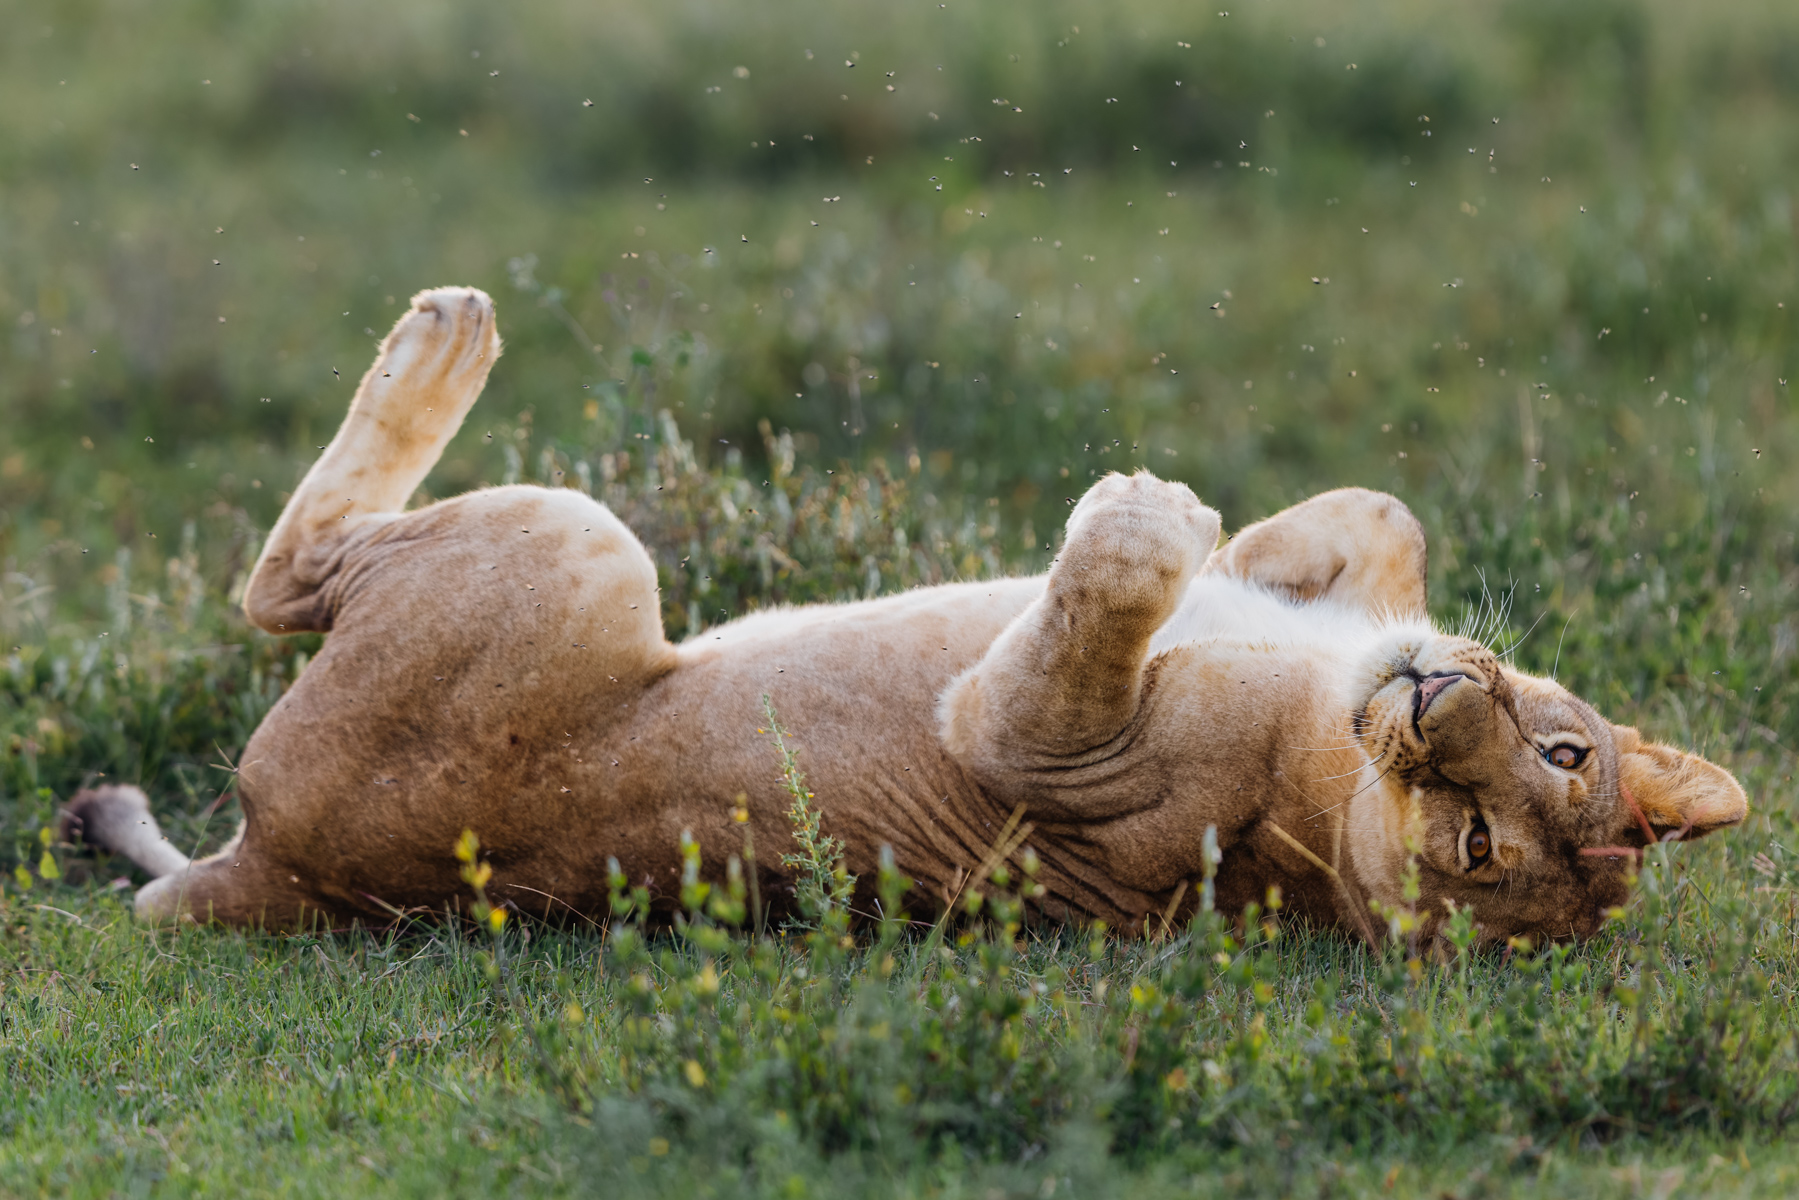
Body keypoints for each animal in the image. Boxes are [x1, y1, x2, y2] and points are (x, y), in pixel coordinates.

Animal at [63, 287, 1746, 944]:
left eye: (1474, 847)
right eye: (1559, 754)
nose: (1434, 709)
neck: (1330, 764)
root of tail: (288, 875)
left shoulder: (1033, 755)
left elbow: (1099, 602)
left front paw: (1149, 511)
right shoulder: (1364, 597)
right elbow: (1375, 518)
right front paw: (1241, 533)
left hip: (571, 548)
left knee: (278, 580)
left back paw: (445, 336)